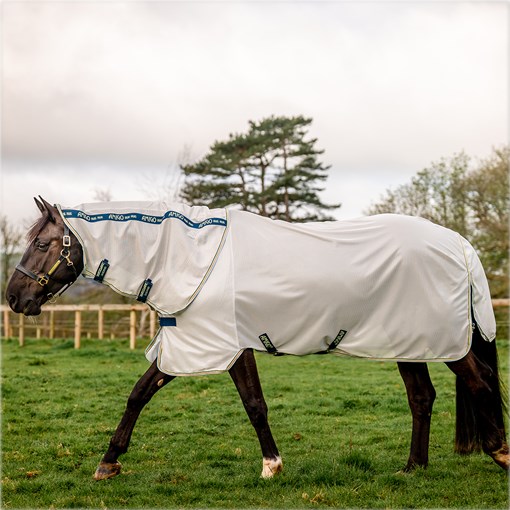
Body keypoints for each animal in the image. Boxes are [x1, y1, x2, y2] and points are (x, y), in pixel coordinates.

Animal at [4, 197, 510, 480]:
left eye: (43, 244)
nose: (13, 297)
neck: (191, 259)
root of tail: (457, 243)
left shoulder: (226, 346)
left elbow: (254, 405)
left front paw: (272, 466)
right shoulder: (188, 346)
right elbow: (138, 394)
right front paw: (109, 463)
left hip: (444, 343)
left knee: (480, 382)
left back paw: (499, 453)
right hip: (409, 342)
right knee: (422, 397)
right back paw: (412, 469)